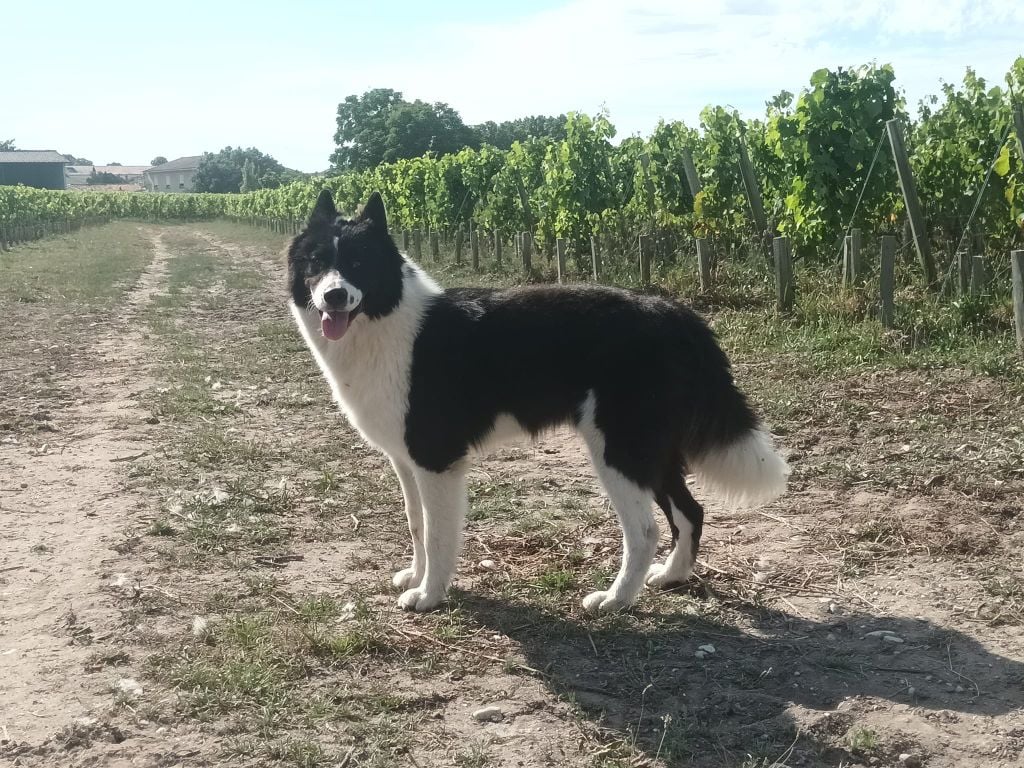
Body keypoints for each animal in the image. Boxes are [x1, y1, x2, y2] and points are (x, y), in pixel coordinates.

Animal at [288, 191, 790, 614]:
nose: (334, 295)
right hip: (650, 451)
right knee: (690, 511)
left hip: (619, 451)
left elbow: (436, 533)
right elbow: (416, 523)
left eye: (358, 262)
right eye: (316, 262)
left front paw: (429, 595)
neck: (386, 320)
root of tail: (676, 314)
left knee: (644, 531)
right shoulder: (405, 460)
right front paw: (415, 576)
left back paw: (614, 600)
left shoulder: (436, 461)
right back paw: (671, 576)